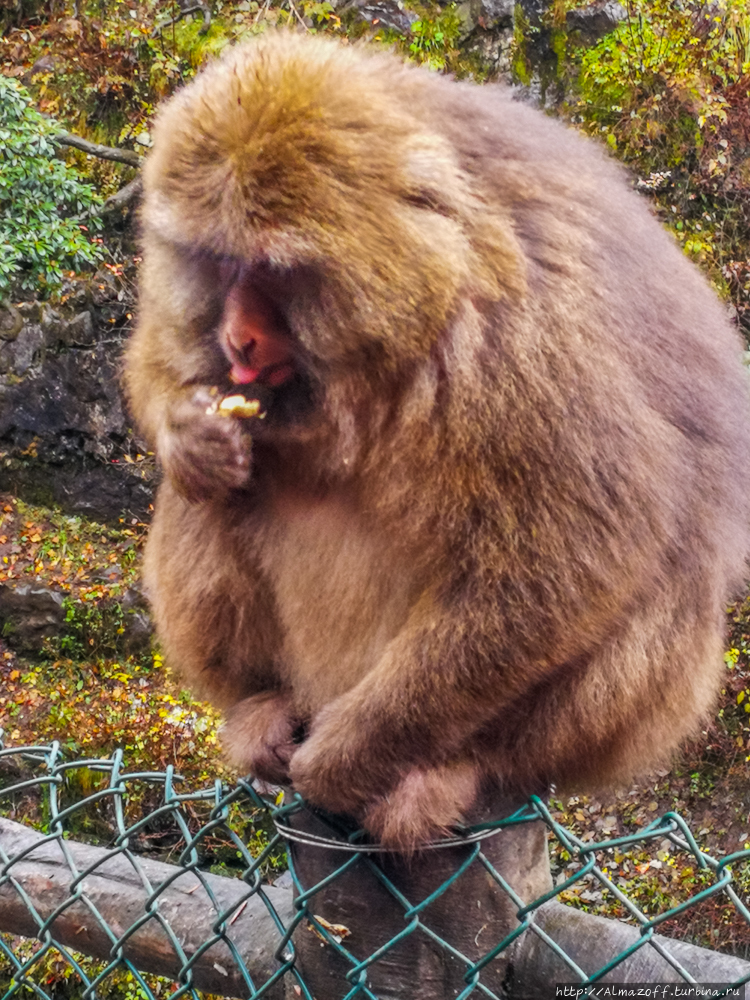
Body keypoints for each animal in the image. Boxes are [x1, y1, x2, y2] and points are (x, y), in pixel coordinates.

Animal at [126, 27, 750, 848]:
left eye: (276, 270)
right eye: (221, 262)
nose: (240, 339)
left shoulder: (525, 334)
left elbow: (581, 549)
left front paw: (350, 758)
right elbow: (159, 358)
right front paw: (192, 437)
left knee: (667, 575)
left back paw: (456, 768)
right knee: (206, 502)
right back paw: (258, 702)